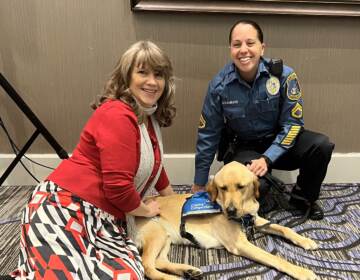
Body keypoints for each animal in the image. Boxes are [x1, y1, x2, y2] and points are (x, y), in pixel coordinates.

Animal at [134, 162, 318, 280]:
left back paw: (188, 271)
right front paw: (302, 272)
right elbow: (273, 258)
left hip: (166, 237)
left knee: (159, 261)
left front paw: (305, 240)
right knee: (148, 266)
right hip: (156, 233)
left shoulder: (255, 220)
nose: (230, 211)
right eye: (222, 188)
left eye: (241, 187)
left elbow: (284, 228)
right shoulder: (240, 244)